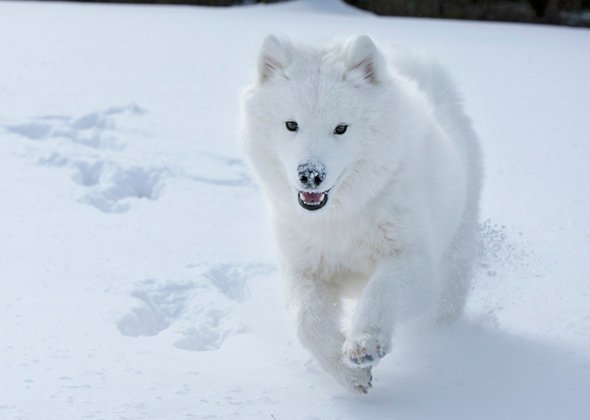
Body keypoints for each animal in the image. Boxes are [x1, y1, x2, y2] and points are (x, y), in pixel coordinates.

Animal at [239, 36, 480, 394]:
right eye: (291, 125)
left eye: (341, 128)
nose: (310, 175)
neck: (341, 217)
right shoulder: (304, 267)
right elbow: (307, 321)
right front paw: (349, 374)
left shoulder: (412, 258)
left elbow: (382, 291)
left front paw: (365, 345)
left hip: (456, 249)